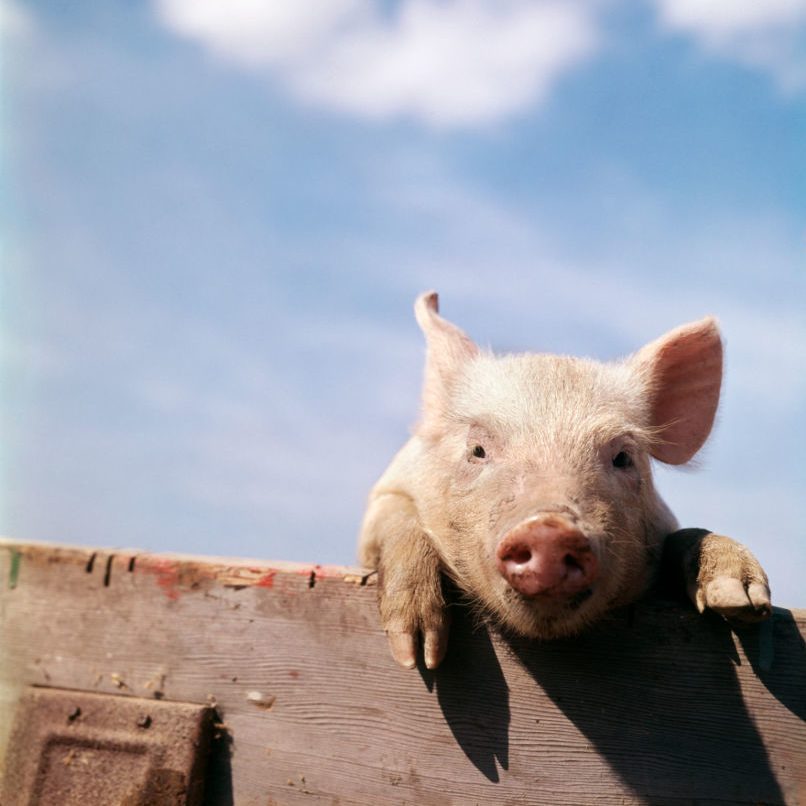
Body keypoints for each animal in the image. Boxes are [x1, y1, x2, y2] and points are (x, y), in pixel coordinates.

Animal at [359, 291, 771, 670]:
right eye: (477, 449)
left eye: (623, 457)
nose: (549, 528)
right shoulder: (387, 494)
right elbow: (398, 522)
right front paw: (418, 655)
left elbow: (687, 535)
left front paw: (742, 600)